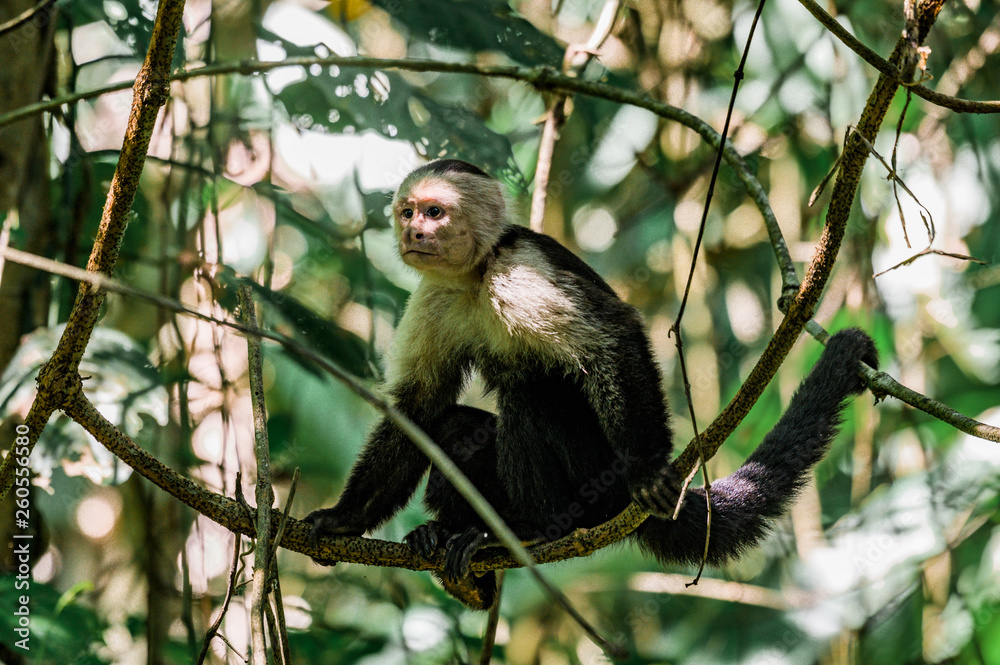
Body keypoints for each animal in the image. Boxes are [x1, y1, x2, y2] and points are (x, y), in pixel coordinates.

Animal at [304, 159, 879, 609]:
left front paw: (647, 470)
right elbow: (418, 408)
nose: (413, 235)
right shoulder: (435, 294)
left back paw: (534, 529)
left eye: (434, 212)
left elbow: (613, 338)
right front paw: (345, 518)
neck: (477, 272)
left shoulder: (522, 270)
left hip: (596, 476)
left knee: (532, 396)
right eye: (408, 212)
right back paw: (454, 539)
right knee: (455, 427)